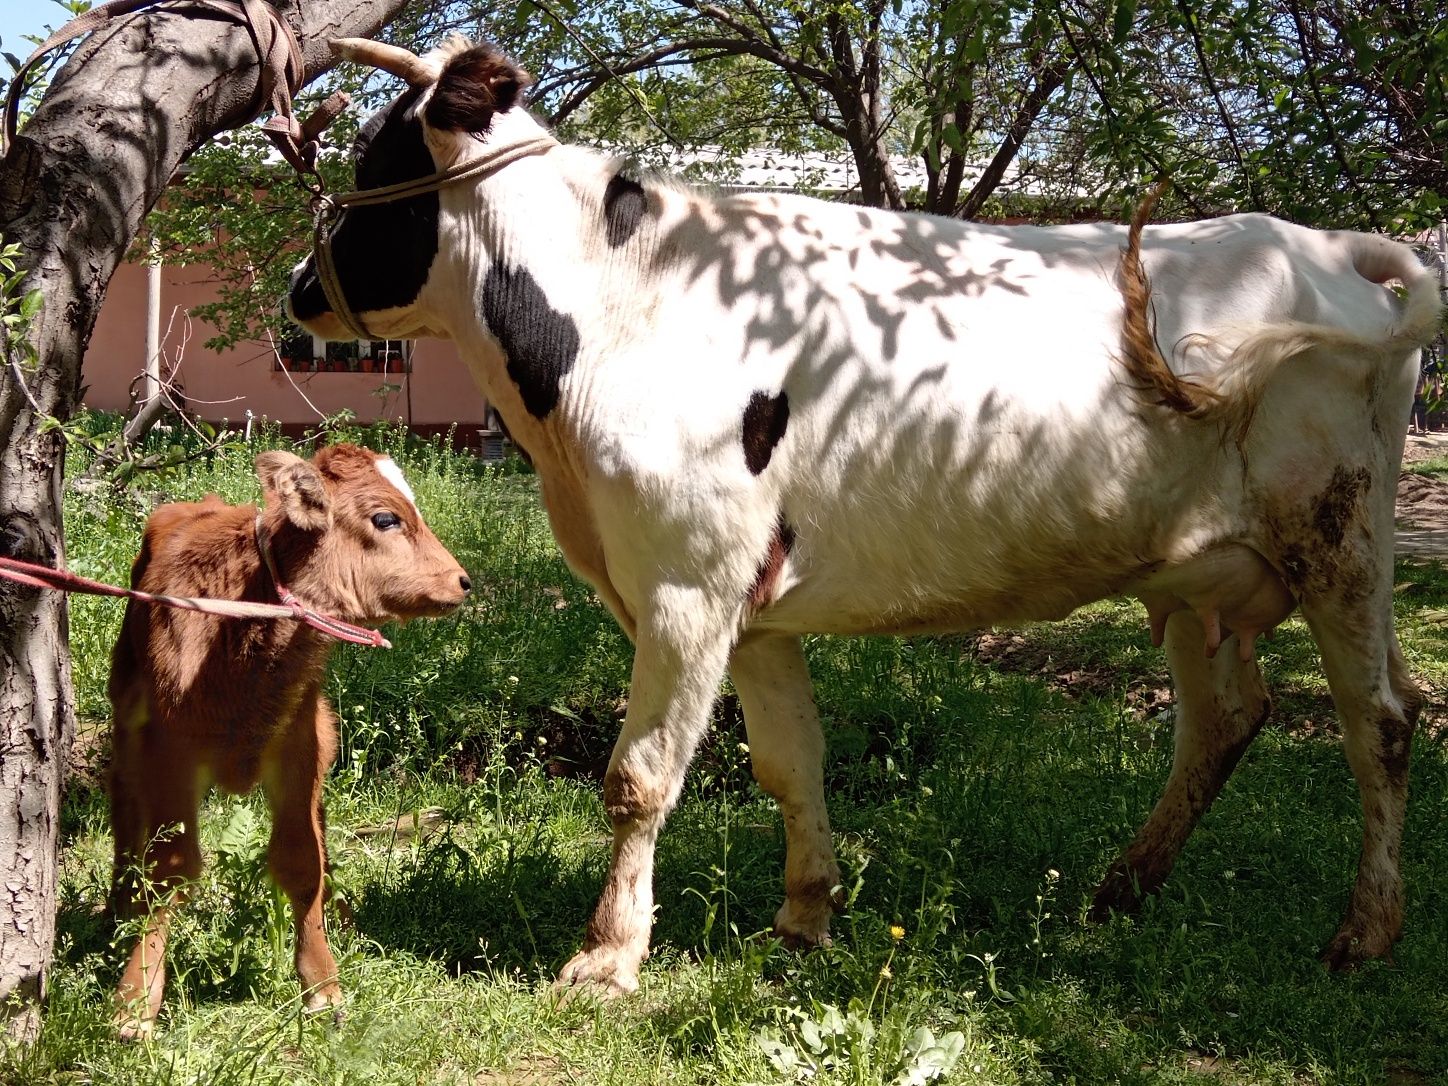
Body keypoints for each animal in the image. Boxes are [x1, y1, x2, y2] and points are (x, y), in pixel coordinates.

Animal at [107, 443, 469, 1036]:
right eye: (385, 518)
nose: (462, 581)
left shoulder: (299, 745)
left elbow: (302, 861)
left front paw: (322, 985)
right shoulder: (169, 752)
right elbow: (170, 870)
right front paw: (135, 1001)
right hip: (125, 722)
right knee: (124, 816)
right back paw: (117, 908)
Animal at [288, 40, 1442, 996]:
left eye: (373, 166)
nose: (301, 291)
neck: (614, 320)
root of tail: (1320, 244)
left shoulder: (684, 586)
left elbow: (639, 779)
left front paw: (606, 959)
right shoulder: (747, 603)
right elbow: (787, 762)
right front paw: (803, 922)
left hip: (1340, 537)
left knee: (1380, 716)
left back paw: (1364, 933)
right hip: (1197, 569)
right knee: (1222, 718)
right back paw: (1119, 888)